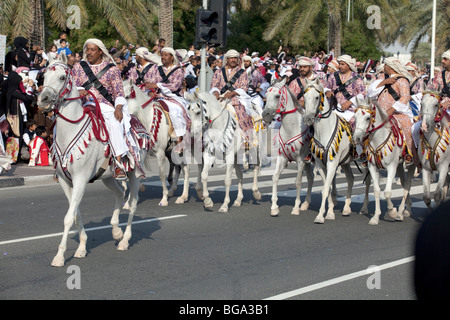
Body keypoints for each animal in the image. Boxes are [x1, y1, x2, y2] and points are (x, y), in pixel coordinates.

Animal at [37, 53, 149, 266]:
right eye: (44, 76)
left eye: (62, 77)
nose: (43, 99)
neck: (69, 131)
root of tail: (137, 122)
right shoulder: (65, 181)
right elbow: (75, 214)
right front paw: (81, 247)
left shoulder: (81, 178)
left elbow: (68, 217)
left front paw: (59, 256)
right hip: (108, 177)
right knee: (119, 192)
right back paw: (116, 231)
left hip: (134, 173)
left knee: (132, 202)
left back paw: (124, 240)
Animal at [260, 77, 312, 216]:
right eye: (266, 95)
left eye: (277, 96)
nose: (265, 115)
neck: (291, 128)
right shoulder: (282, 157)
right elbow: (275, 177)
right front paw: (274, 207)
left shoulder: (300, 160)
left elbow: (298, 182)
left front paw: (295, 207)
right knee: (311, 178)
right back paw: (306, 204)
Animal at [302, 78, 356, 222]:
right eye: (304, 96)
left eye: (316, 97)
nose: (308, 119)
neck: (324, 130)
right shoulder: (321, 164)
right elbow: (328, 186)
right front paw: (329, 212)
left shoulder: (332, 162)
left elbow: (326, 188)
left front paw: (321, 216)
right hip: (345, 162)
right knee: (351, 179)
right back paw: (347, 208)